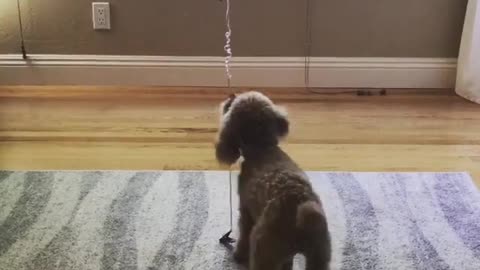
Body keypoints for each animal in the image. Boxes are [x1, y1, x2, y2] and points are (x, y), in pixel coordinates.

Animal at [215, 91, 330, 270]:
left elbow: (243, 234)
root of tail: (301, 209)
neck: (262, 148)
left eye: (234, 102)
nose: (231, 94)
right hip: (318, 256)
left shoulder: (246, 211)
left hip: (263, 248)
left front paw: (239, 255)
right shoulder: (287, 257)